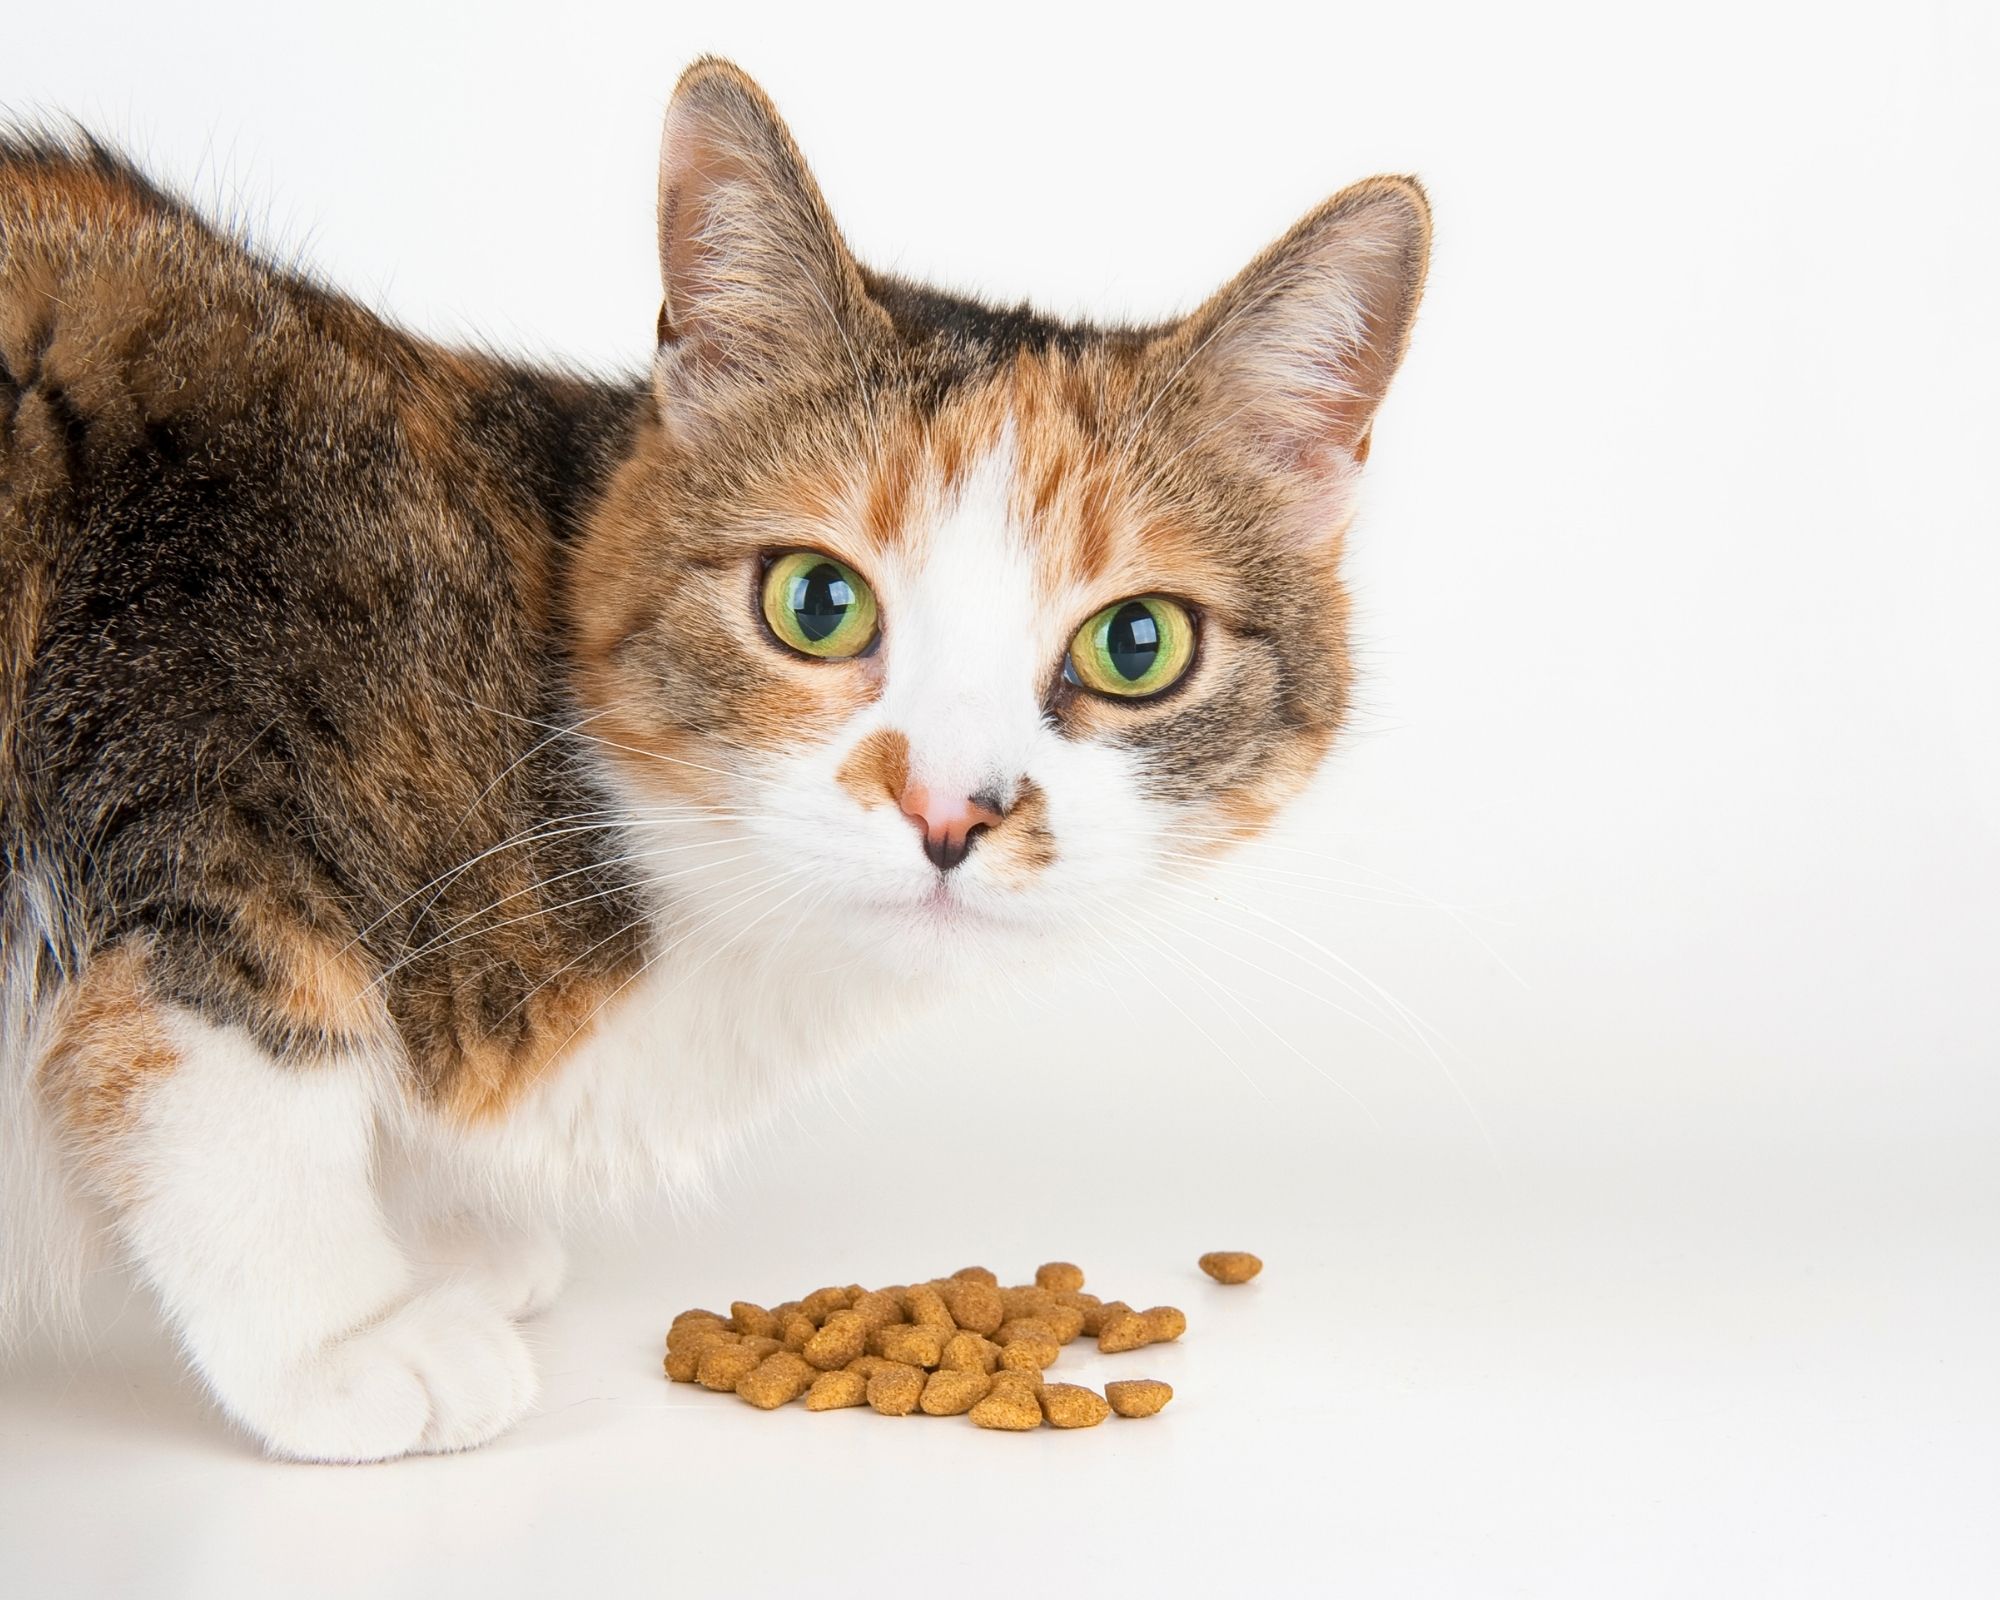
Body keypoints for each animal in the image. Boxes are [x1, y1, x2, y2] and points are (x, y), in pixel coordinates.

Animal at [0, 56, 1424, 1456]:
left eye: (1137, 643)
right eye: (815, 602)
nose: (947, 809)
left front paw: (435, 1242)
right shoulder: (173, 667)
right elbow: (224, 1045)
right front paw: (338, 1332)